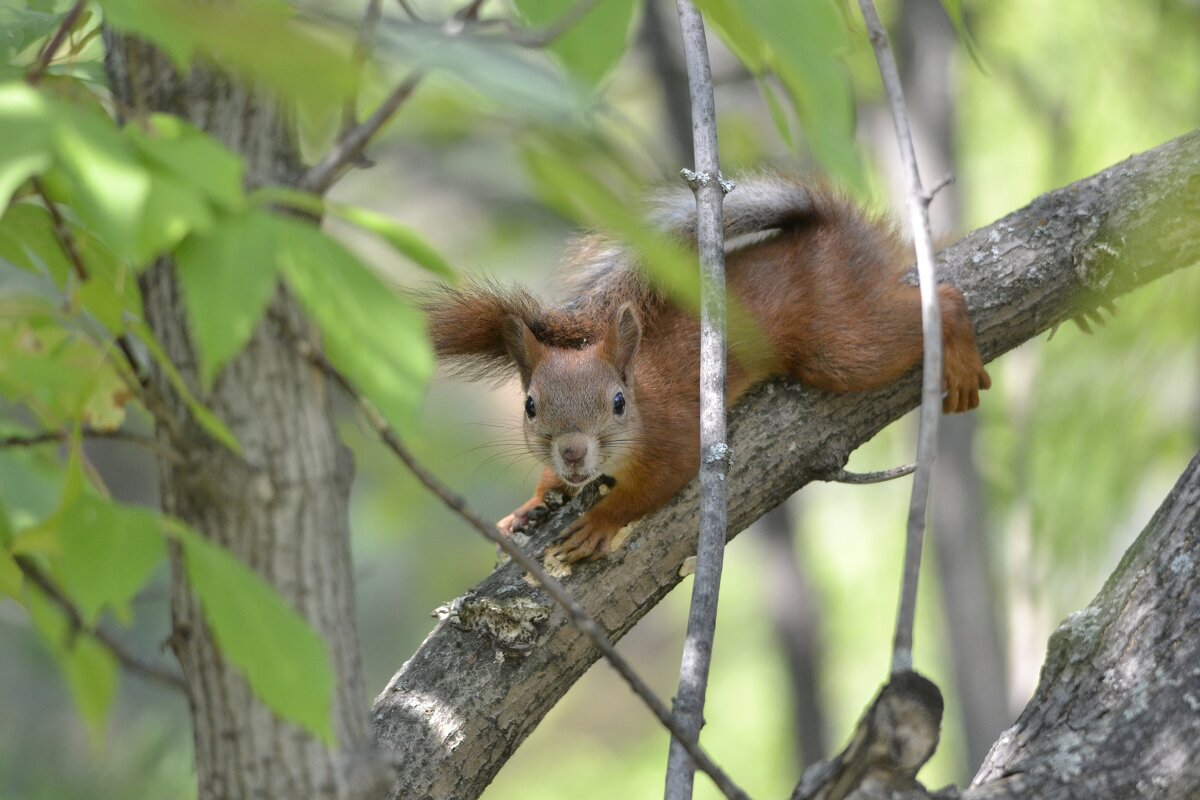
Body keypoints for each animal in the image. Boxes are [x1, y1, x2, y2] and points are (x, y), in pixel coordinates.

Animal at [427, 176, 988, 563]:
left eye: (617, 403)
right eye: (529, 406)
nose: (572, 452)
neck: (643, 403)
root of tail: (838, 232)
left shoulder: (676, 440)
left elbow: (653, 488)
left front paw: (600, 521)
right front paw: (533, 502)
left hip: (840, 347)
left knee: (941, 302)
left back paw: (957, 349)